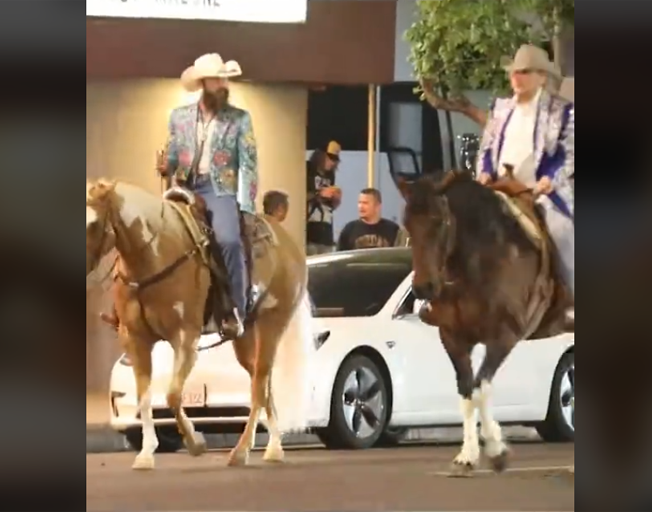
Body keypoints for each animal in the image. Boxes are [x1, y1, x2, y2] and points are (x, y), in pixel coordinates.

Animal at [87, 178, 310, 470]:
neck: (156, 254)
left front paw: (195, 443)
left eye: (92, 223)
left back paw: (241, 451)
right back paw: (273, 447)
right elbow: (145, 397)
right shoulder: (134, 338)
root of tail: (288, 241)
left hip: (273, 321)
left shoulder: (185, 337)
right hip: (245, 334)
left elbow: (172, 394)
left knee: (259, 384)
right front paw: (146, 454)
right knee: (262, 382)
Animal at [398, 171, 572, 476]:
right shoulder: (453, 338)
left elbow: (481, 387)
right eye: (407, 223)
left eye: (440, 221)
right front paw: (467, 456)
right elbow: (467, 390)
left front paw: (496, 449)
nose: (423, 287)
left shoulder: (504, 336)